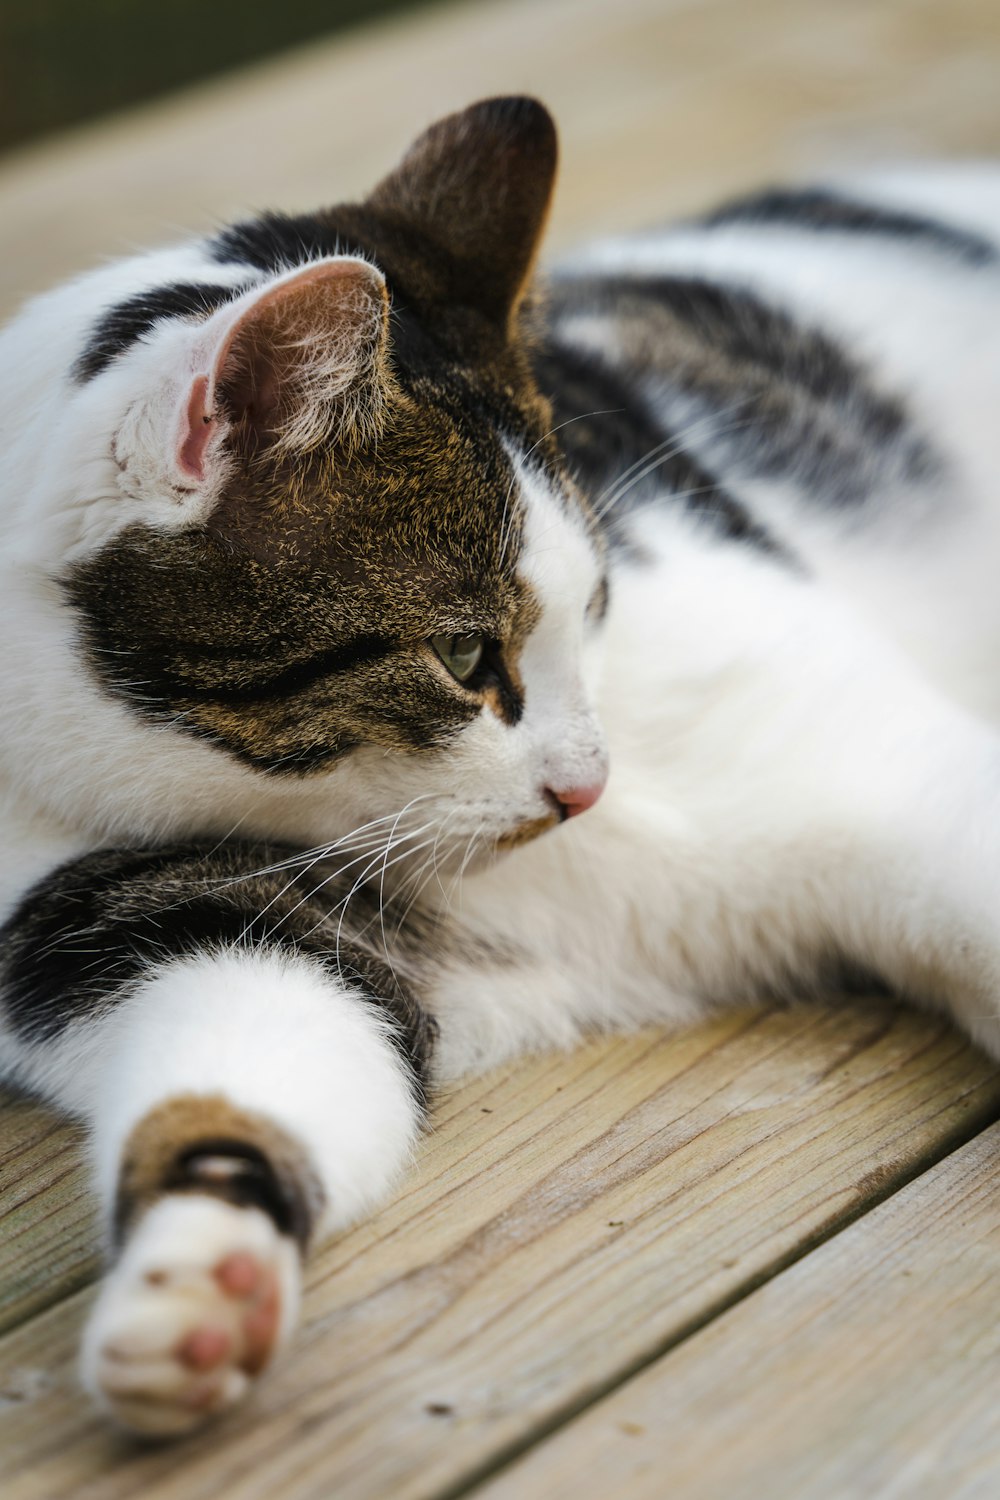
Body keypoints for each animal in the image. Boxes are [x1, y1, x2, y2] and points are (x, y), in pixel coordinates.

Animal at [1, 96, 1000, 1440]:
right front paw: (203, 1271)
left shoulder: (883, 767)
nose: (587, 787)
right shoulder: (154, 910)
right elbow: (257, 1052)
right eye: (467, 654)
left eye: (601, 605)